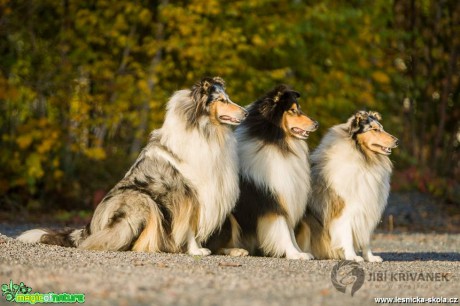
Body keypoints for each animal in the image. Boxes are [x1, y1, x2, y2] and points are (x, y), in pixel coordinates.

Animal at [18, 77, 248, 256]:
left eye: (228, 98)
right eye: (222, 100)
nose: (246, 113)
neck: (205, 130)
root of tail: (88, 229)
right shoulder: (189, 193)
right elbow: (190, 226)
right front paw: (196, 250)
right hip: (140, 199)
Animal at [208, 85, 318, 260]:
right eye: (293, 111)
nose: (316, 124)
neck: (276, 143)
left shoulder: (285, 198)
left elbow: (291, 233)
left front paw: (300, 252)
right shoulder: (272, 202)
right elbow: (284, 232)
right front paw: (295, 254)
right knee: (213, 247)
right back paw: (236, 251)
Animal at [296, 111, 398, 262]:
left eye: (382, 128)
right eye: (374, 129)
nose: (397, 141)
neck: (364, 159)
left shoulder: (367, 209)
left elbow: (366, 238)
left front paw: (370, 257)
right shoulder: (344, 211)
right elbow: (347, 235)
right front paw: (352, 256)